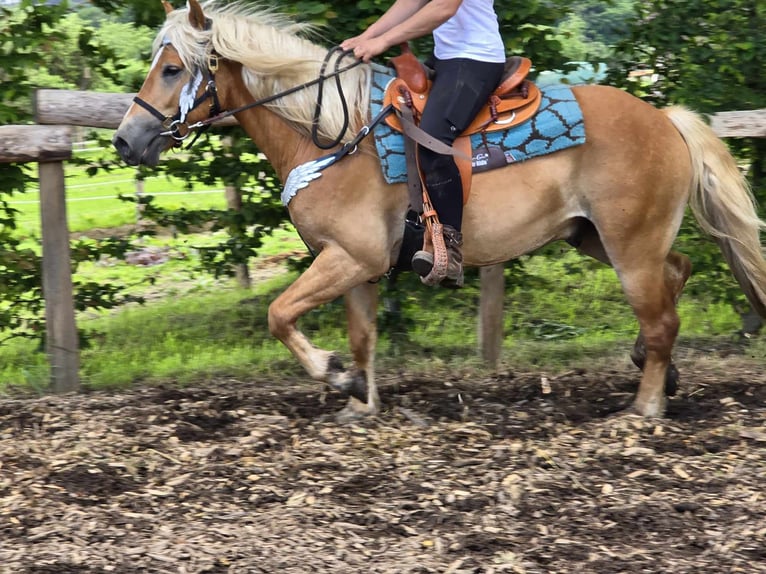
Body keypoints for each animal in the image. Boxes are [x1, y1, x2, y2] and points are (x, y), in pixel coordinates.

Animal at [114, 0, 766, 418]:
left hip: (629, 246)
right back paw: (656, 371)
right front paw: (360, 401)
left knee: (662, 319)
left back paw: (645, 406)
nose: (126, 140)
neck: (331, 132)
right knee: (677, 275)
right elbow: (362, 336)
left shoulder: (349, 257)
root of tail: (667, 120)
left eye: (172, 68)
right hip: (595, 237)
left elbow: (279, 314)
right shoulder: (352, 266)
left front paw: (332, 374)